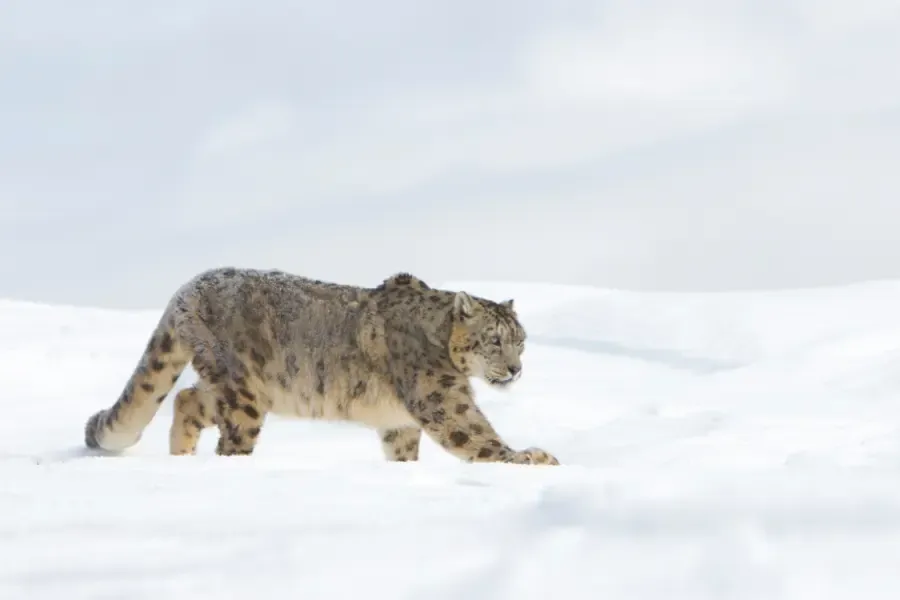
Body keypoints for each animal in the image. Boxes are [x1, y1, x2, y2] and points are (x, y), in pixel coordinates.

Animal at [83, 267, 559, 465]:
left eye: (521, 342)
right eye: (494, 340)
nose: (515, 370)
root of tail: (188, 288)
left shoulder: (400, 422)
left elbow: (404, 450)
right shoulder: (442, 398)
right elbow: (478, 435)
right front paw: (532, 457)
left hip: (229, 385)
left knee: (185, 398)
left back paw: (180, 456)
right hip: (243, 393)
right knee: (227, 434)